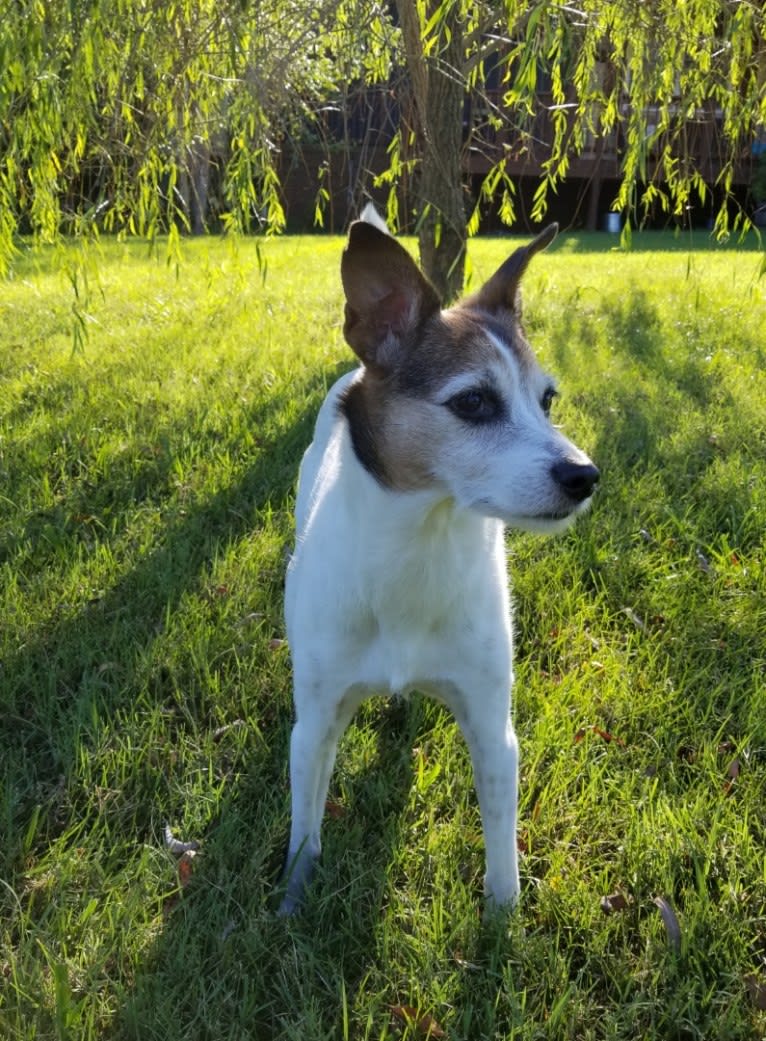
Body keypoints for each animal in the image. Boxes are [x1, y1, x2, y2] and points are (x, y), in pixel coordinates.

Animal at [278, 205, 599, 911]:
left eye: (548, 400)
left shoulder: (492, 726)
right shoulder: (313, 725)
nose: (585, 475)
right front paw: (292, 897)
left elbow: (501, 844)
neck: (418, 547)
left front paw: (502, 920)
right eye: (473, 401)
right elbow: (305, 826)